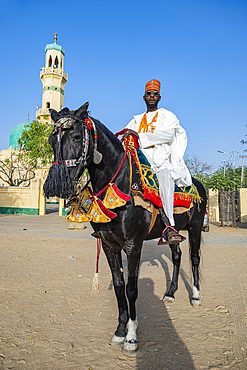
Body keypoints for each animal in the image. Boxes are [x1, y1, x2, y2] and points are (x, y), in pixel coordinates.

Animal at [44, 103, 206, 356]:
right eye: (52, 140)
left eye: (77, 136)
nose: (57, 185)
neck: (117, 182)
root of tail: (197, 183)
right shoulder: (109, 244)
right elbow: (119, 287)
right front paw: (120, 331)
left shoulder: (132, 244)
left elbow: (132, 288)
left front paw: (131, 337)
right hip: (174, 233)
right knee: (177, 255)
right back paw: (170, 293)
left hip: (196, 227)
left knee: (195, 258)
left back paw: (196, 296)